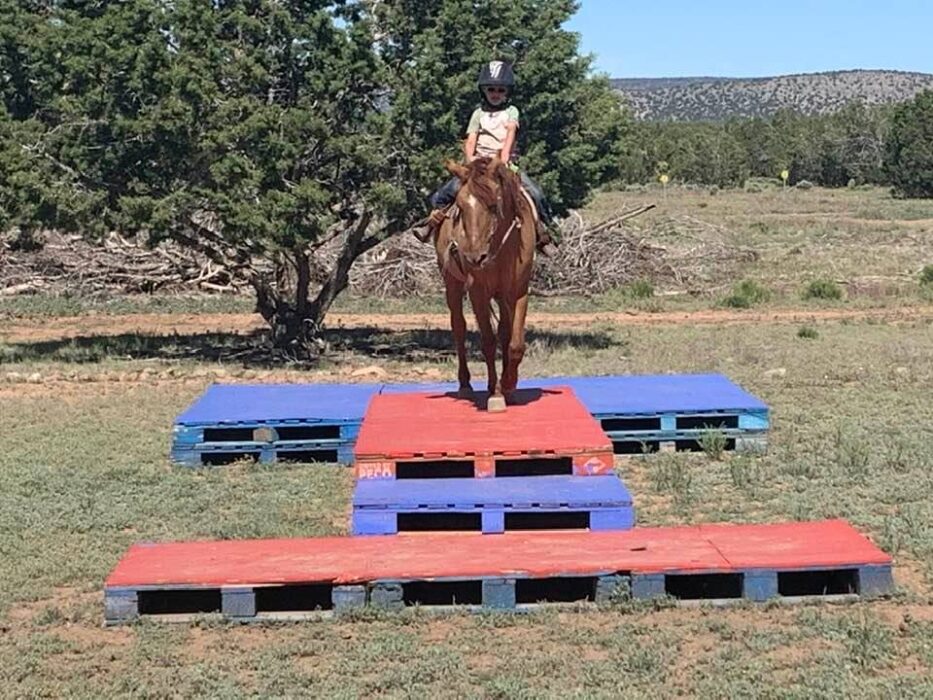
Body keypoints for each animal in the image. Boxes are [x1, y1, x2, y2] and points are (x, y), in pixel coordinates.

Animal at [433, 156, 537, 412]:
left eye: (492, 206)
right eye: (460, 207)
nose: (474, 257)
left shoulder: (518, 292)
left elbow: (515, 343)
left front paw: (509, 384)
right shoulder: (478, 293)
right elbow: (488, 342)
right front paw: (496, 393)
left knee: (504, 332)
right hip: (452, 285)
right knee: (458, 327)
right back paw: (466, 385)